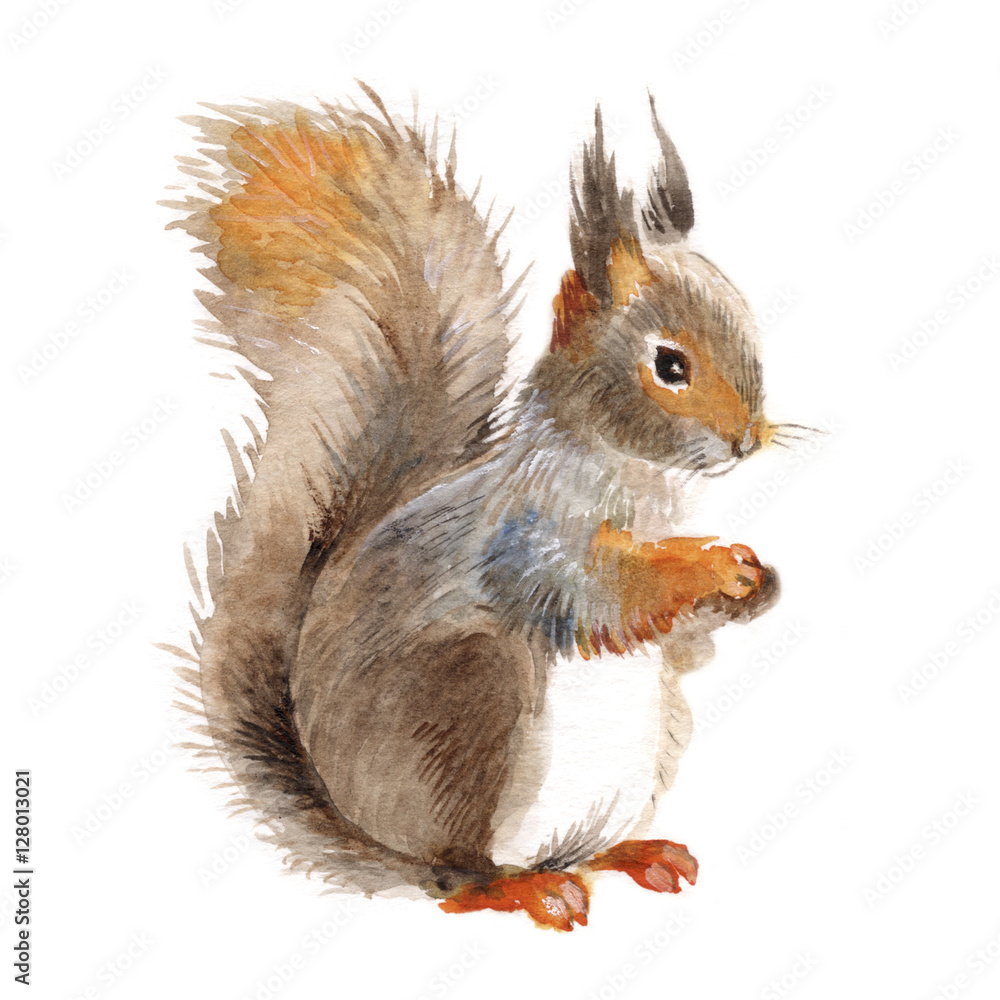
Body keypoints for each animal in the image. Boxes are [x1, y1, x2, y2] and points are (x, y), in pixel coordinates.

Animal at [165, 85, 788, 931]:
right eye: (669, 364)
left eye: (749, 326)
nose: (746, 441)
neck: (650, 482)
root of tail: (366, 826)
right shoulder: (529, 533)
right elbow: (596, 592)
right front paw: (709, 565)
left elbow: (680, 639)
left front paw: (753, 575)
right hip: (473, 704)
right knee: (460, 878)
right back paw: (521, 889)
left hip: (648, 747)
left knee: (570, 850)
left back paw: (634, 854)